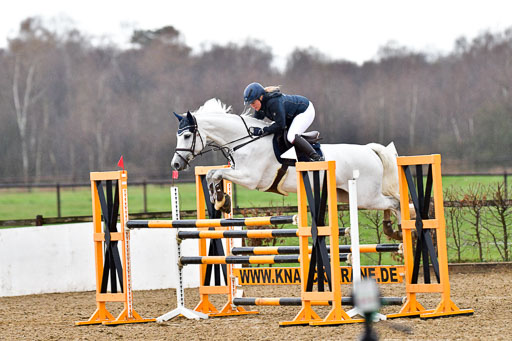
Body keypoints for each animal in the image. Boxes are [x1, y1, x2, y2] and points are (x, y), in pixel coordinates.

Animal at [172, 98, 404, 239]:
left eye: (187, 135)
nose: (175, 164)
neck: (245, 141)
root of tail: (370, 150)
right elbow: (213, 174)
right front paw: (220, 199)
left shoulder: (250, 178)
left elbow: (218, 173)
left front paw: (221, 199)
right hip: (347, 194)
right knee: (390, 204)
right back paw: (393, 231)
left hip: (366, 196)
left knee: (395, 203)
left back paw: (398, 231)